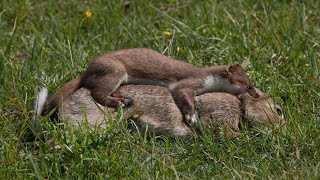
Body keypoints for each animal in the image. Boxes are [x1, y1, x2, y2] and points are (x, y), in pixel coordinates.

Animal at [41, 48, 258, 126]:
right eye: (248, 85)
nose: (256, 94)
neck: (206, 76)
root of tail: (87, 69)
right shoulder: (186, 83)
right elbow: (182, 94)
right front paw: (191, 116)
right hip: (115, 70)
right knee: (97, 92)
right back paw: (122, 101)